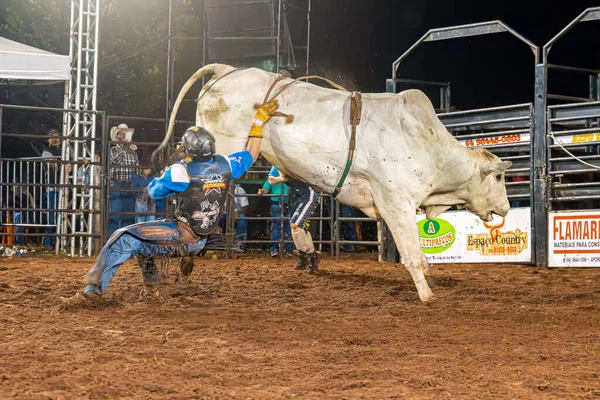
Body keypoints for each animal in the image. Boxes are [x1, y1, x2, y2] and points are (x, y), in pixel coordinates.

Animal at [158, 64, 510, 302]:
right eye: (498, 176)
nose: (506, 208)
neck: (426, 142)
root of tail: (228, 71)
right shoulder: (396, 204)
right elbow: (412, 253)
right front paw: (426, 293)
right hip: (221, 150)